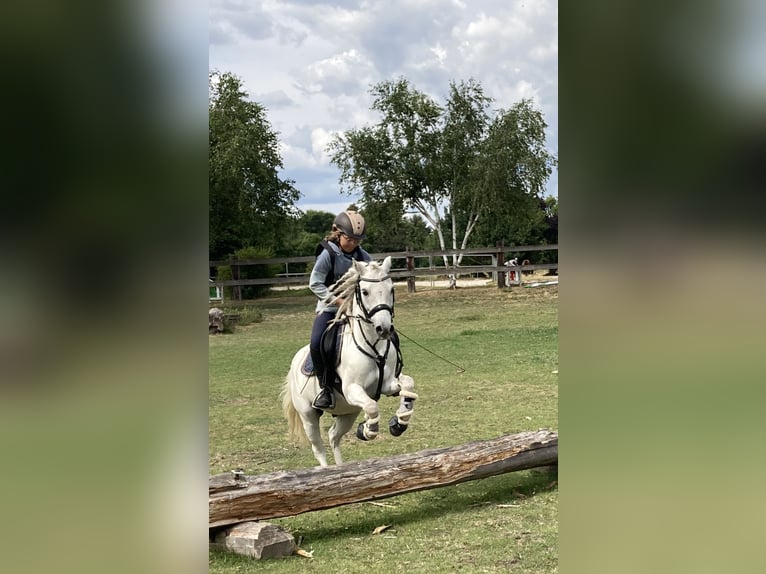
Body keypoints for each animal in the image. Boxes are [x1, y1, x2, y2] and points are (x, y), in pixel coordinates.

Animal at [281, 256, 417, 466]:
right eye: (365, 291)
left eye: (391, 289)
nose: (384, 329)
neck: (373, 345)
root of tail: (294, 363)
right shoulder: (352, 388)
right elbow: (372, 406)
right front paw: (368, 430)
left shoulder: (387, 384)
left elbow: (408, 384)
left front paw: (399, 422)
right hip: (308, 416)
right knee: (318, 447)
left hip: (347, 412)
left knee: (333, 437)